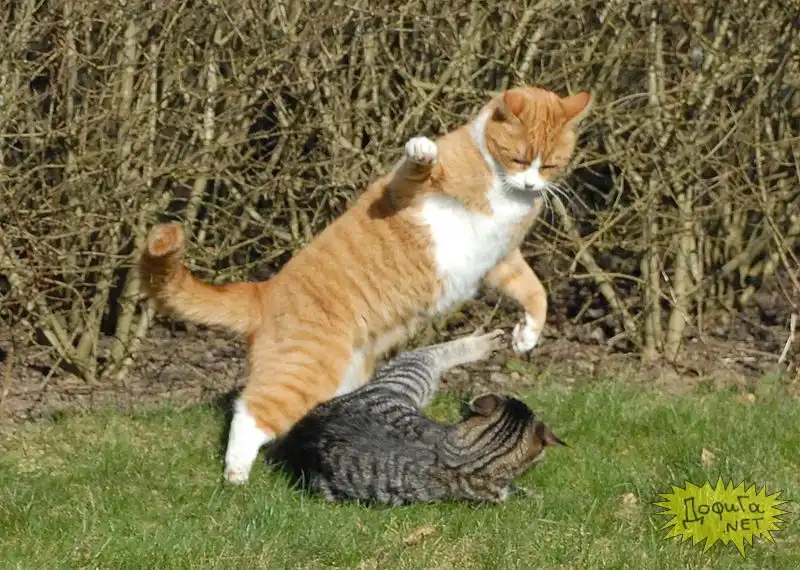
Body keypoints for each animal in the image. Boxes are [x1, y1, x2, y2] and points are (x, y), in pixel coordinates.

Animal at [139, 85, 591, 484]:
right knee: (249, 412)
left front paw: (527, 335)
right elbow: (416, 170)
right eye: (518, 158)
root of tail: (262, 291)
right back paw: (236, 474)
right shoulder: (399, 194)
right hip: (304, 370)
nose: (532, 185)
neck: (502, 186)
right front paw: (422, 150)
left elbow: (536, 290)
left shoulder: (502, 261)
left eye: (549, 165)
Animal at [268, 329, 566, 505]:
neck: (468, 457)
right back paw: (480, 344)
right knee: (430, 353)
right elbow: (516, 492)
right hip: (409, 378)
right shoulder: (496, 494)